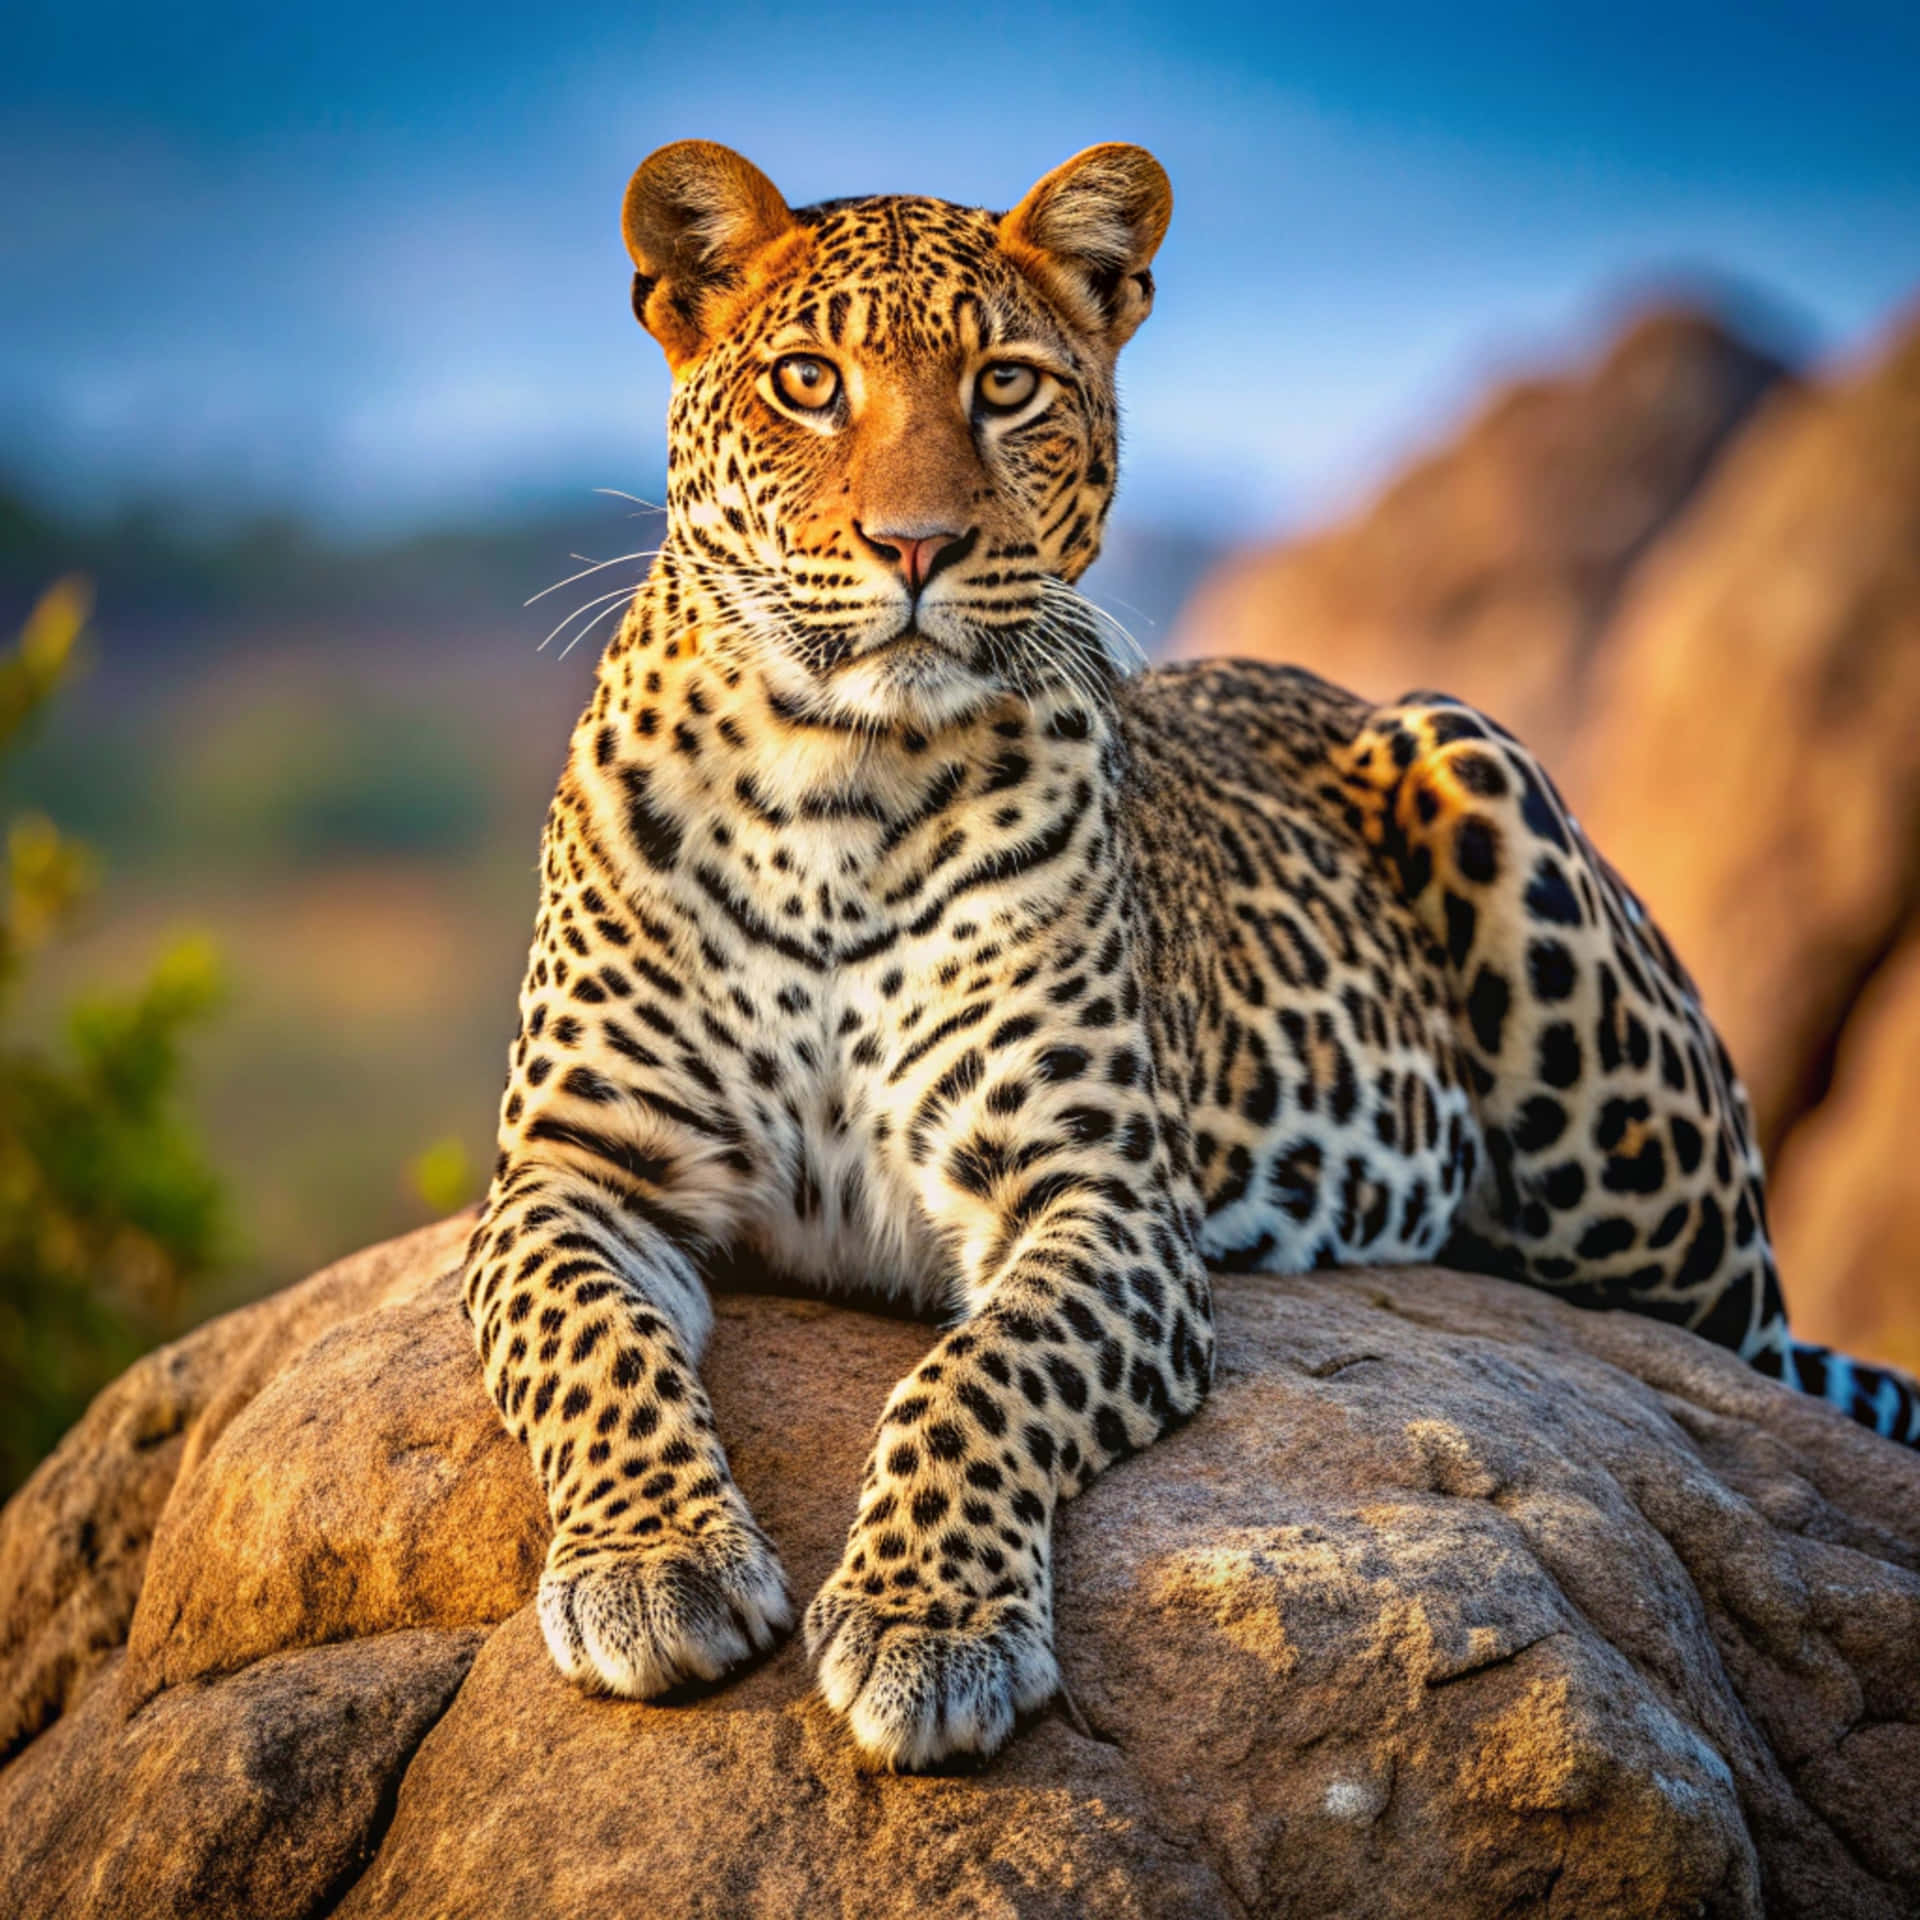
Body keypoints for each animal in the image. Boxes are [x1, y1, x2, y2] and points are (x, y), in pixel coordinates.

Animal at [460, 138, 1920, 1772]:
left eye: (1008, 385)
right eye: (808, 382)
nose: (917, 547)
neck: (836, 783)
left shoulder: (1095, 1194)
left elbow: (977, 1379)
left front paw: (926, 1628)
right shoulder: (575, 1171)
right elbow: (583, 1339)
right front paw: (654, 1564)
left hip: (1512, 859)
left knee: (1734, 1334)